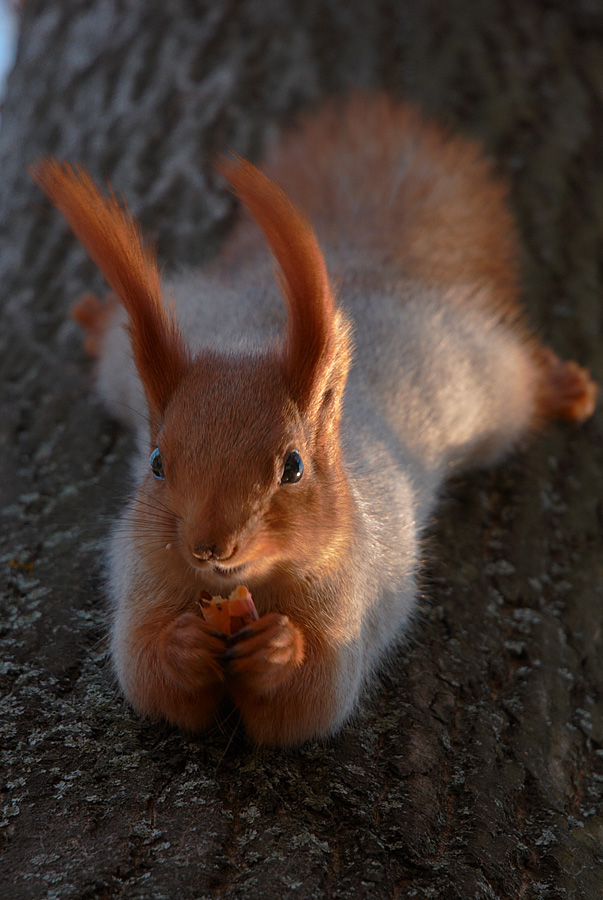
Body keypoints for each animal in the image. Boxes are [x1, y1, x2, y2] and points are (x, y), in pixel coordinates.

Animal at [33, 95, 600, 748]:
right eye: (156, 464)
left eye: (294, 468)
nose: (209, 546)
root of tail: (367, 269)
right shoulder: (140, 574)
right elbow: (147, 673)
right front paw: (183, 644)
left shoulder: (351, 592)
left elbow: (317, 692)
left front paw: (279, 650)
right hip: (136, 356)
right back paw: (95, 315)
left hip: (479, 384)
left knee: (516, 376)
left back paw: (559, 385)